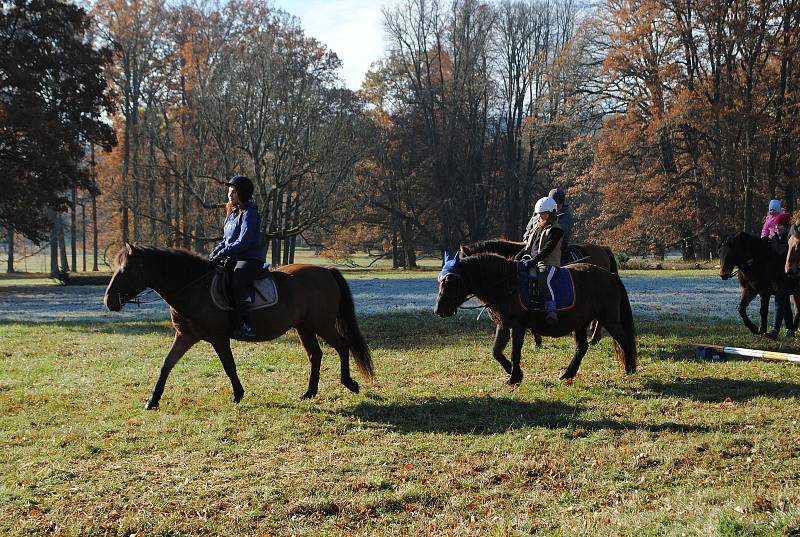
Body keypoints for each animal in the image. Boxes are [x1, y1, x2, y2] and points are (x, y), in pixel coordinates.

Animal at [104, 243, 376, 406]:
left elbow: (229, 366)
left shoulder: (218, 337)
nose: (108, 301)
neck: (194, 287)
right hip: (304, 326)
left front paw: (238, 394)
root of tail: (326, 270)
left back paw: (349, 383)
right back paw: (310, 392)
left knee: (342, 346)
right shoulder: (185, 336)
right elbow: (166, 365)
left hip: (321, 323)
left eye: (126, 270)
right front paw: (153, 400)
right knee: (315, 355)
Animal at [434, 252, 636, 384]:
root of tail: (610, 276)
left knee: (624, 340)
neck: (507, 283)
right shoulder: (503, 324)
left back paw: (630, 369)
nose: (438, 310)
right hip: (581, 323)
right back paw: (567, 374)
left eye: (450, 282)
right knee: (582, 348)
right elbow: (496, 352)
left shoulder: (517, 325)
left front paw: (514, 376)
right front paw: (513, 372)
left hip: (609, 319)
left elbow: (515, 351)